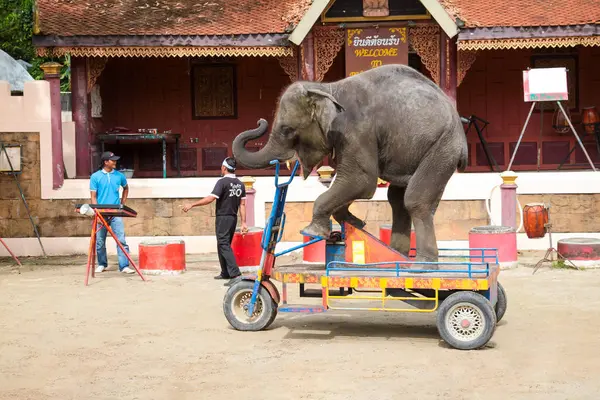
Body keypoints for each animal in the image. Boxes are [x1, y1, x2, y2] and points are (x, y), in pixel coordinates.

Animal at [231, 63, 468, 262]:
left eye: (287, 129)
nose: (259, 121)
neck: (327, 88)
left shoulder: (355, 131)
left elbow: (361, 181)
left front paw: (311, 231)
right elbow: (352, 184)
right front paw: (354, 223)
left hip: (443, 147)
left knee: (415, 200)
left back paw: (422, 264)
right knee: (397, 199)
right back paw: (397, 255)